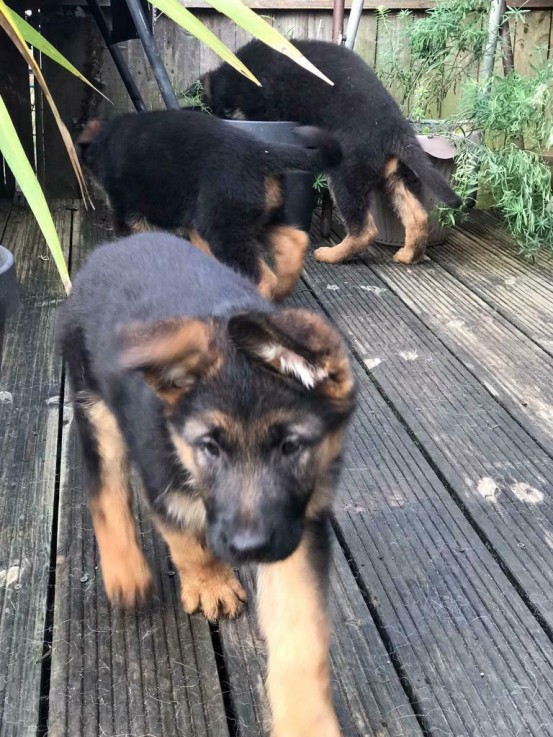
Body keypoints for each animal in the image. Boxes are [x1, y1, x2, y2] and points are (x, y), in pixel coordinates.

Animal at [58, 231, 356, 736]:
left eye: (291, 446)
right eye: (211, 448)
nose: (248, 547)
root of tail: (115, 247)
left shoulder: (296, 528)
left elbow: (302, 633)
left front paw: (306, 722)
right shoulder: (161, 475)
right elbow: (185, 539)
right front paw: (210, 581)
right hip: (95, 406)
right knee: (105, 486)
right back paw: (125, 571)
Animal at [74, 108, 340, 298]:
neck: (106, 137)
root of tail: (259, 152)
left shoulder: (126, 212)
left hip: (224, 230)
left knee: (263, 279)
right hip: (255, 218)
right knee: (294, 241)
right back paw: (282, 292)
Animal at [198, 40, 462, 264]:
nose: (221, 118)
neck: (240, 72)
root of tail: (394, 126)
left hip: (345, 175)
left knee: (364, 230)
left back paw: (332, 255)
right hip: (392, 175)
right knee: (417, 216)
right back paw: (409, 255)